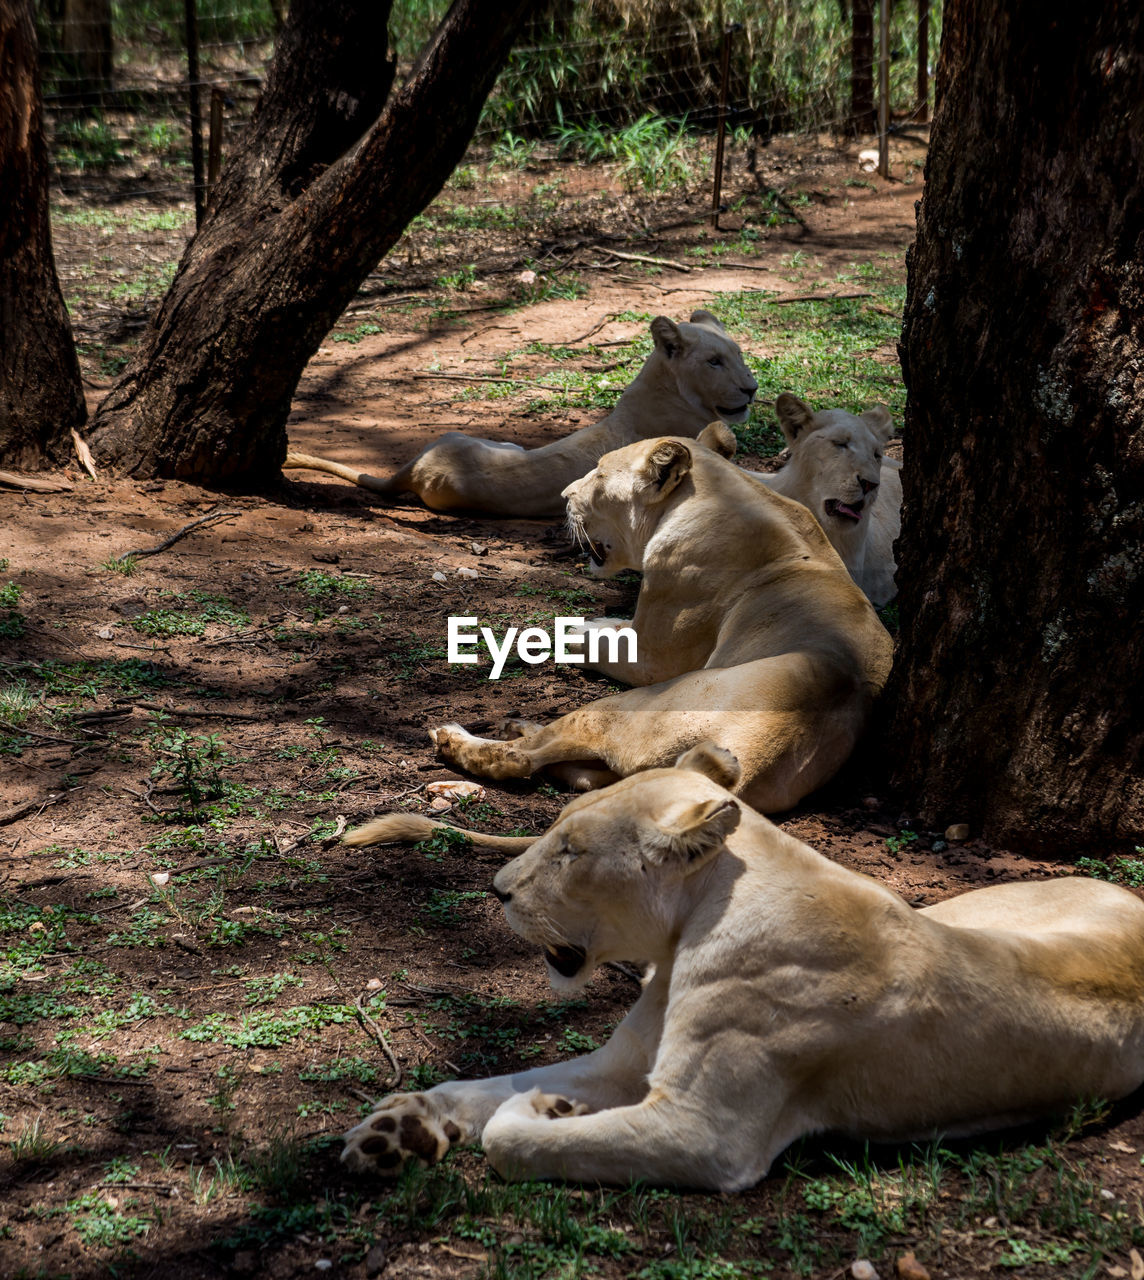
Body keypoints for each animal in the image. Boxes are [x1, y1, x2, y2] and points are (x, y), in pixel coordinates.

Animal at [342, 742, 1144, 1187]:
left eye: (570, 850)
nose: (498, 890)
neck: (684, 938)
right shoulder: (621, 1066)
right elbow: (484, 1084)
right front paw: (402, 1125)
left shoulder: (705, 1134)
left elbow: (509, 1134)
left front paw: (550, 1111)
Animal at [417, 427, 900, 808]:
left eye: (598, 474)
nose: (564, 497)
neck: (724, 493)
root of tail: (743, 766)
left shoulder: (652, 658)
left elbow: (582, 634)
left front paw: (560, 629)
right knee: (575, 767)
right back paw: (516, 724)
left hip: (633, 705)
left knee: (522, 759)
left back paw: (455, 737)